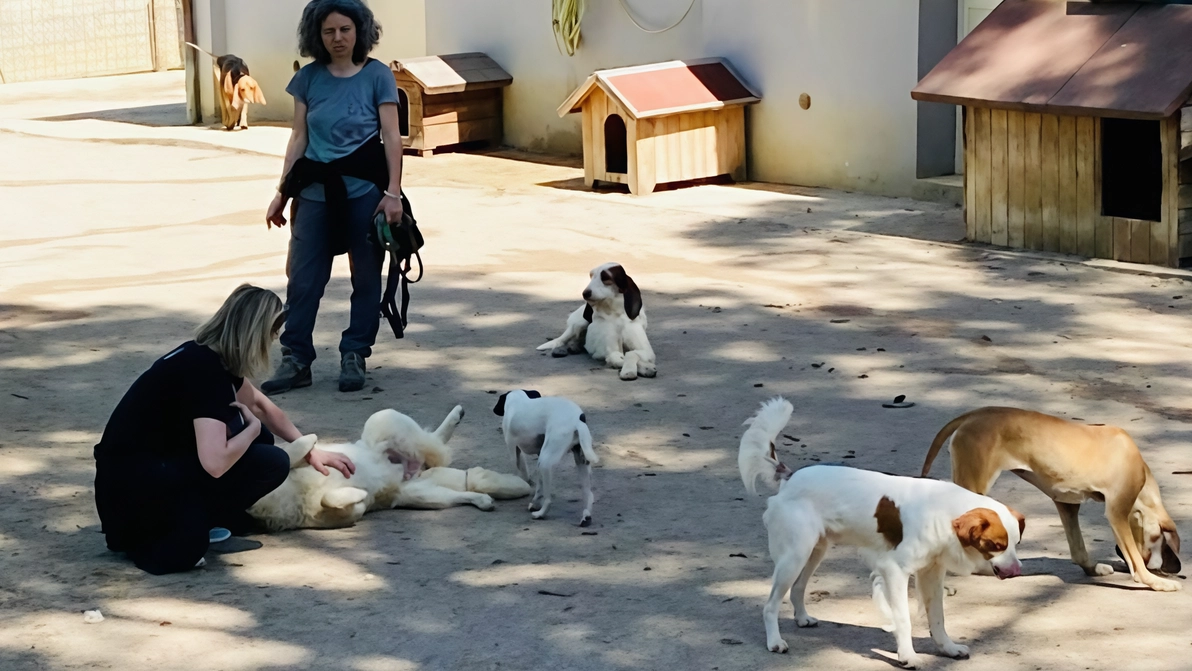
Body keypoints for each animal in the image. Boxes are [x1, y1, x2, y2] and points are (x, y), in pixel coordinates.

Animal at [491, 390, 596, 526]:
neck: (517, 399)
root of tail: (578, 421)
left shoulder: (513, 450)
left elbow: (519, 472)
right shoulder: (536, 453)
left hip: (545, 463)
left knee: (548, 500)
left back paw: (540, 514)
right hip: (580, 462)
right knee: (588, 494)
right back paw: (586, 516)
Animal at [734, 398, 1025, 667]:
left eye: (1016, 544)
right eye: (995, 545)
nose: (1017, 571)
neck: (943, 511)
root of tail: (790, 477)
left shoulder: (931, 573)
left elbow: (938, 617)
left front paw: (948, 648)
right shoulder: (894, 570)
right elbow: (904, 619)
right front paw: (907, 656)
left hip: (815, 550)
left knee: (797, 588)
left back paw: (803, 618)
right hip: (795, 555)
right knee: (770, 605)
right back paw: (775, 641)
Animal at [924, 407, 1177, 591]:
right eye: (1162, 542)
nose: (1173, 568)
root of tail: (973, 414)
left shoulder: (1067, 505)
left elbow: (1078, 548)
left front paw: (1093, 568)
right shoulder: (1116, 513)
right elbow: (1135, 558)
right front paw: (1155, 582)